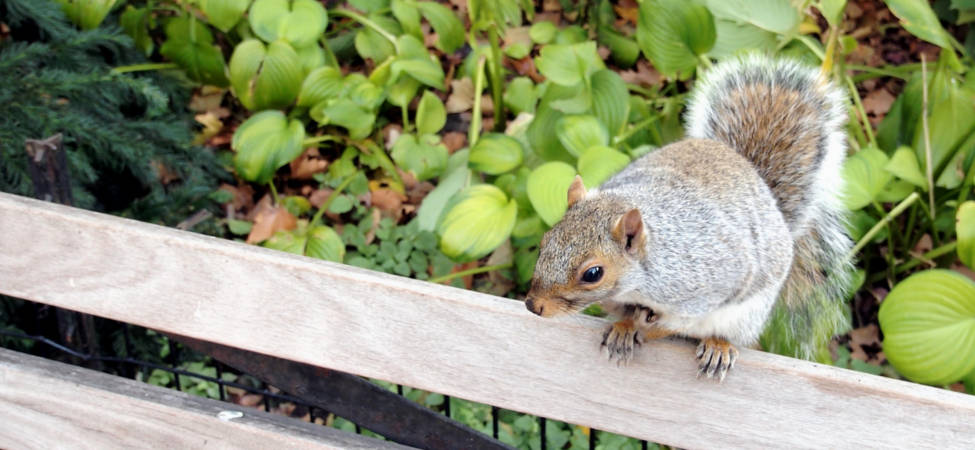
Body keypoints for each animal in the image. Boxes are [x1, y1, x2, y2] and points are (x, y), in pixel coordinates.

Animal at [528, 54, 856, 382]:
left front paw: (651, 329)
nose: (533, 305)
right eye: (545, 242)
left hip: (747, 315)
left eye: (593, 273)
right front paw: (626, 327)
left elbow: (680, 322)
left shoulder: (715, 280)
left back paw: (718, 346)